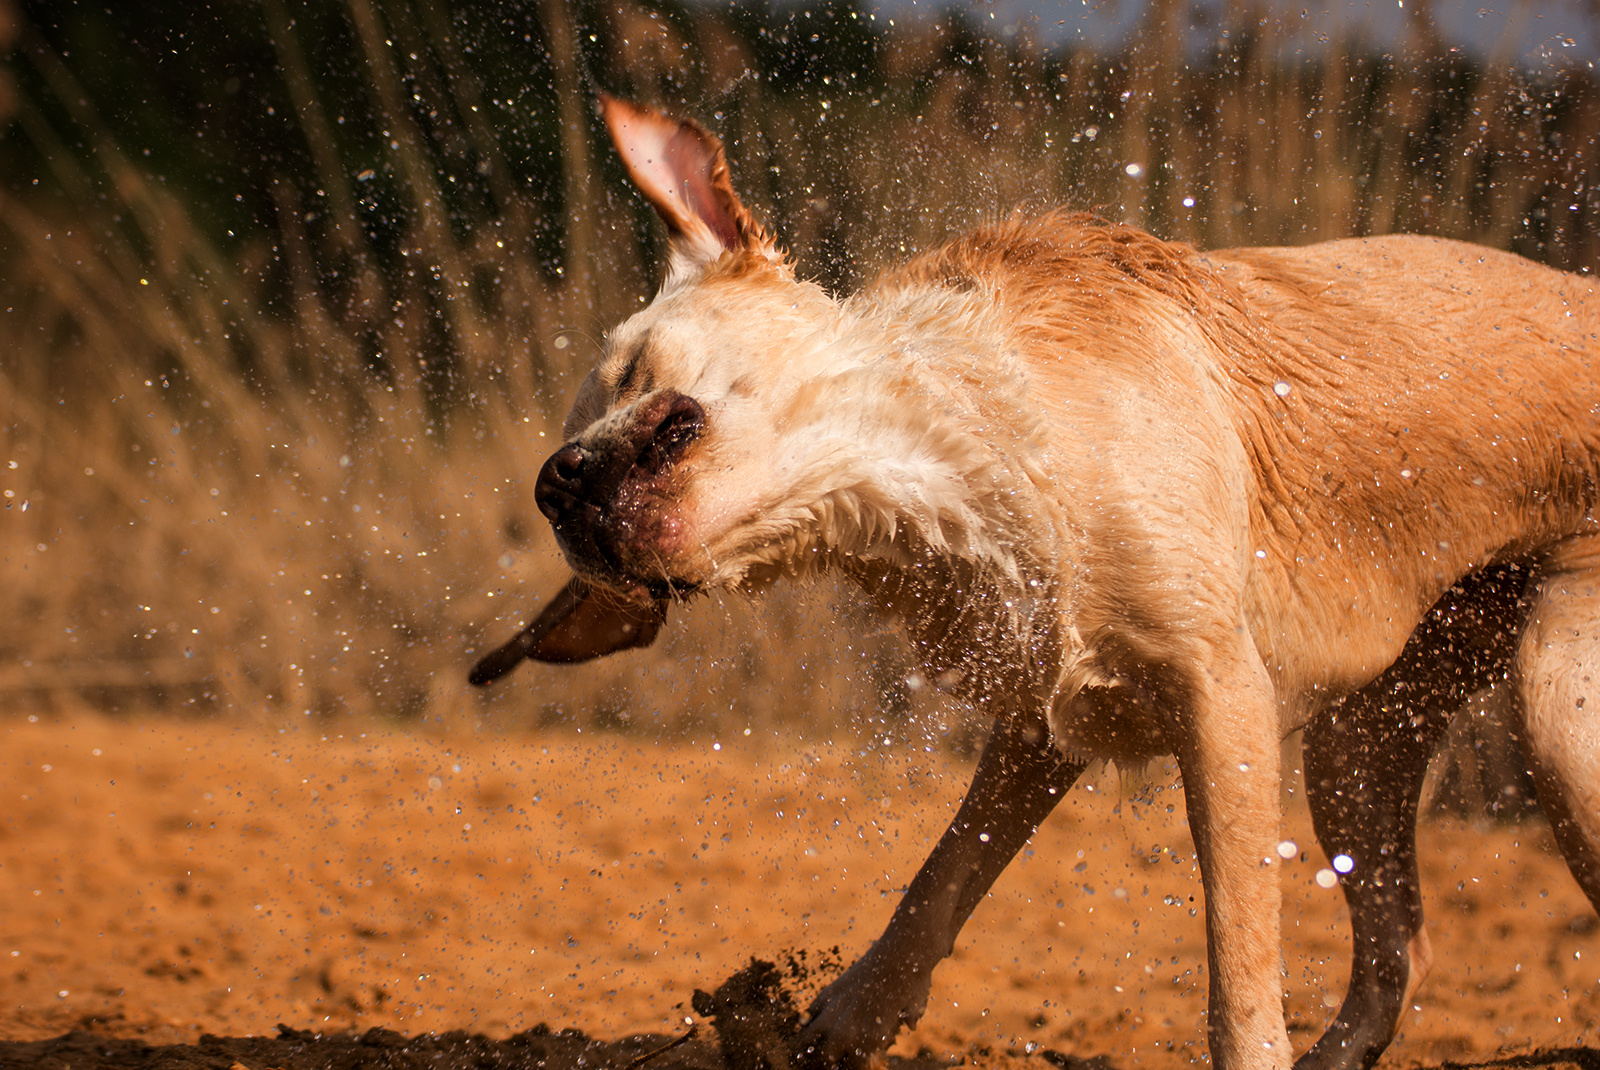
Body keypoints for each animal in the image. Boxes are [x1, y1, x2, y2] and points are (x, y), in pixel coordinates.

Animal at [470, 97, 1600, 1068]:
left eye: (628, 372)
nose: (552, 481)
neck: (952, 460)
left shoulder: (1222, 694)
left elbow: (1238, 958)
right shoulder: (1043, 713)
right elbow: (944, 874)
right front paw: (848, 1013)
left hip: (1557, 715)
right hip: (1362, 745)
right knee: (1402, 948)